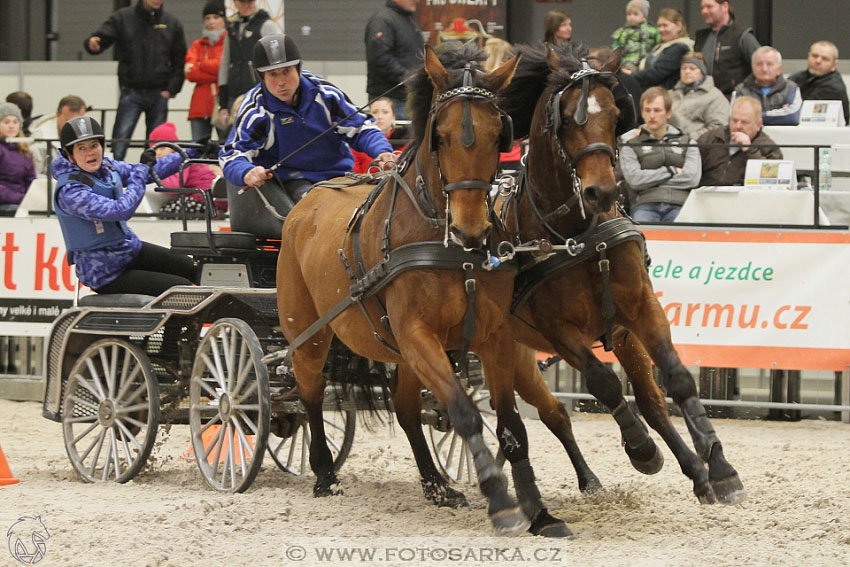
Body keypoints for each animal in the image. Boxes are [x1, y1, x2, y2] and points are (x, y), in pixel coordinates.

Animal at [274, 44, 536, 536]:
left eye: (499, 135)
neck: (445, 244)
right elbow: (464, 412)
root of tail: (308, 199)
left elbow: (509, 420)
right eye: (442, 136)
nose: (470, 229)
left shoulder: (492, 336)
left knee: (406, 409)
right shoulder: (417, 334)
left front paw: (532, 503)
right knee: (310, 393)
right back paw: (323, 473)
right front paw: (500, 498)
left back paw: (436, 484)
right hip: (308, 332)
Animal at [494, 44, 744, 506]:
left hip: (618, 339)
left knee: (647, 401)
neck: (575, 233)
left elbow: (677, 381)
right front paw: (641, 448)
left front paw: (719, 468)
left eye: (614, 114)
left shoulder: (640, 308)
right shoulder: (557, 330)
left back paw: (690, 472)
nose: (602, 191)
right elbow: (604, 383)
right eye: (566, 117)